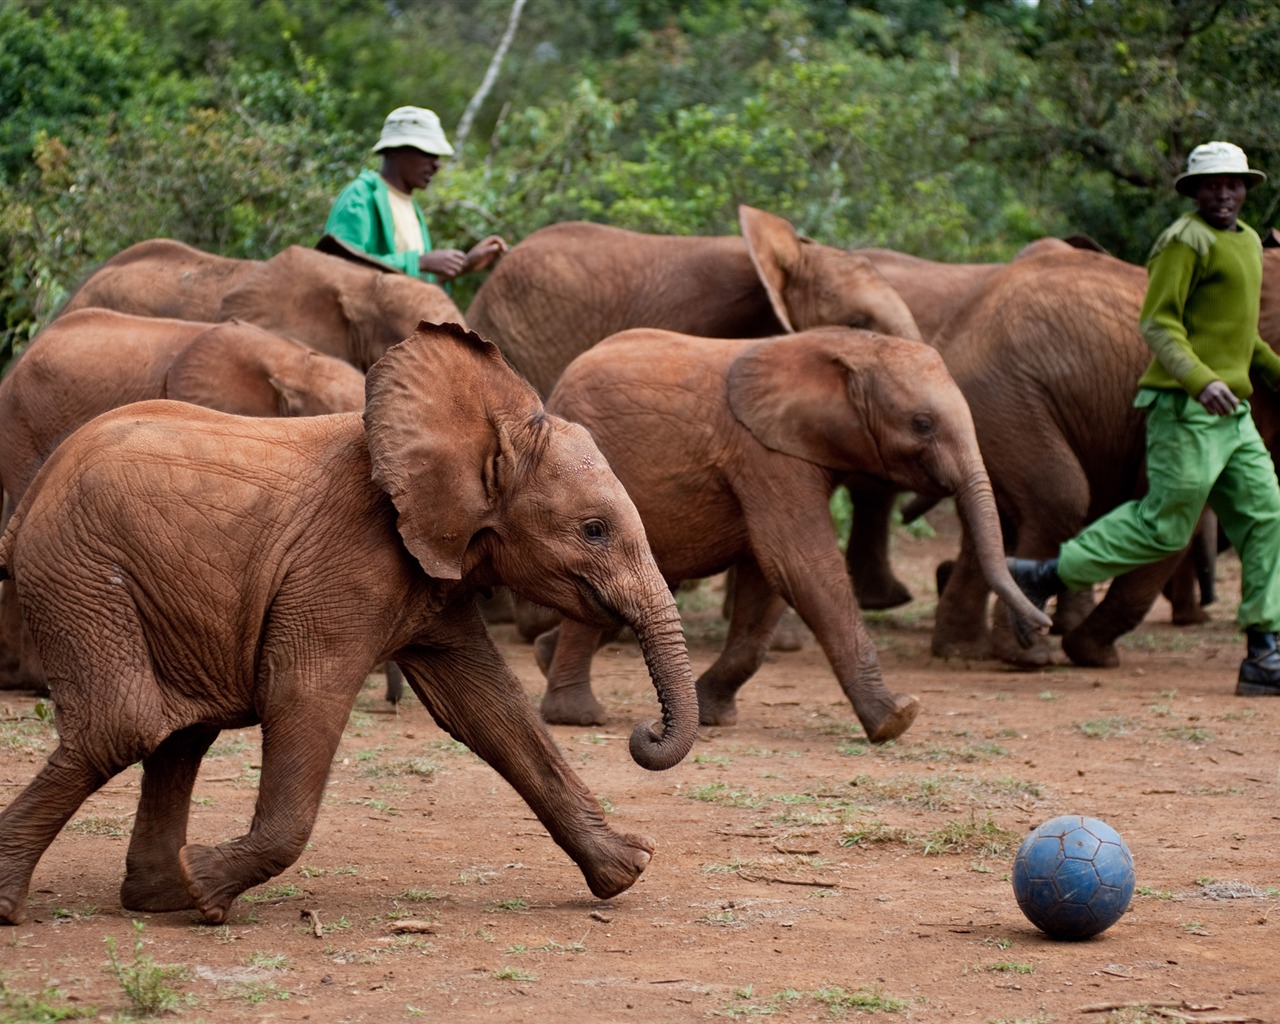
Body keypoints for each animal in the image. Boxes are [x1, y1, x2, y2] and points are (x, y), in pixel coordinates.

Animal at [0, 323, 701, 921]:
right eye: (594, 530)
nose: (643, 733)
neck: (484, 428)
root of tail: (34, 493)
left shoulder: (432, 571)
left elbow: (489, 710)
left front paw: (626, 870)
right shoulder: (347, 561)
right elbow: (303, 693)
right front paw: (208, 886)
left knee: (180, 732)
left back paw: (158, 898)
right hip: (81, 570)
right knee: (129, 725)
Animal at [529, 326, 1049, 737]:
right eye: (922, 425)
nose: (1039, 628)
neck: (846, 346)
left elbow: (766, 582)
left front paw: (715, 716)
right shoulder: (766, 455)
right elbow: (801, 566)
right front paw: (896, 719)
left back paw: (543, 658)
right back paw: (577, 716)